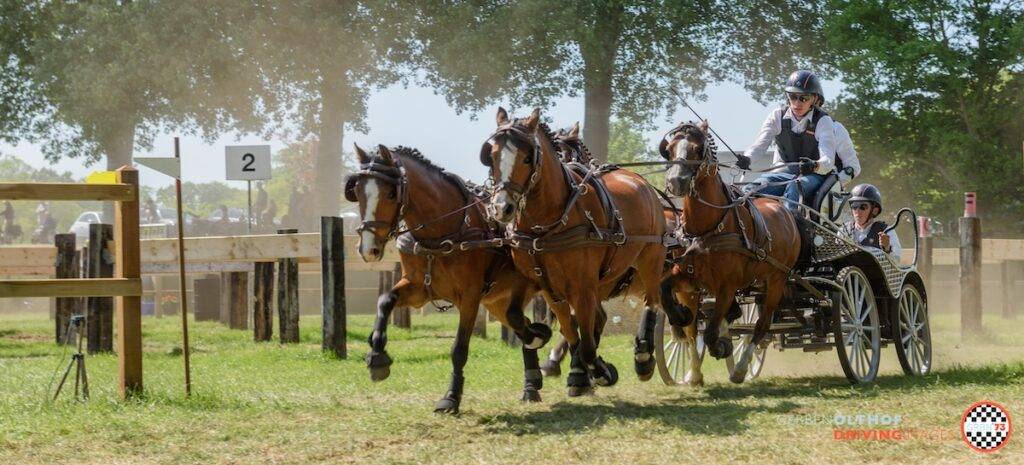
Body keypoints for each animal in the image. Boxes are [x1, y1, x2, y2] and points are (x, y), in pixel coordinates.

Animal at [346, 144, 554, 413]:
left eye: (392, 194)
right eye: (357, 192)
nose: (368, 249)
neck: (442, 232)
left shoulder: (470, 297)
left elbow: (459, 349)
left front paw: (451, 397)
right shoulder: (418, 289)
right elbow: (385, 301)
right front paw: (377, 357)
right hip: (498, 301)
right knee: (518, 319)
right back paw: (531, 381)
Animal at [479, 107, 670, 395]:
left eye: (527, 158)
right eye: (490, 157)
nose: (502, 208)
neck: (547, 225)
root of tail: (640, 181)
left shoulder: (583, 286)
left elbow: (587, 343)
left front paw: (599, 371)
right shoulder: (546, 286)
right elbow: (569, 332)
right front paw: (566, 364)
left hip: (651, 258)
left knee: (653, 302)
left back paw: (644, 358)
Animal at [661, 121, 803, 383]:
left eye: (697, 149)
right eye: (670, 149)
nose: (676, 181)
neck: (707, 229)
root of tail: (784, 209)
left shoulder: (727, 286)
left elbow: (710, 332)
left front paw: (720, 346)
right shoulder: (688, 277)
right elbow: (671, 298)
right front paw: (679, 322)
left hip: (776, 281)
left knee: (761, 326)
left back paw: (740, 368)